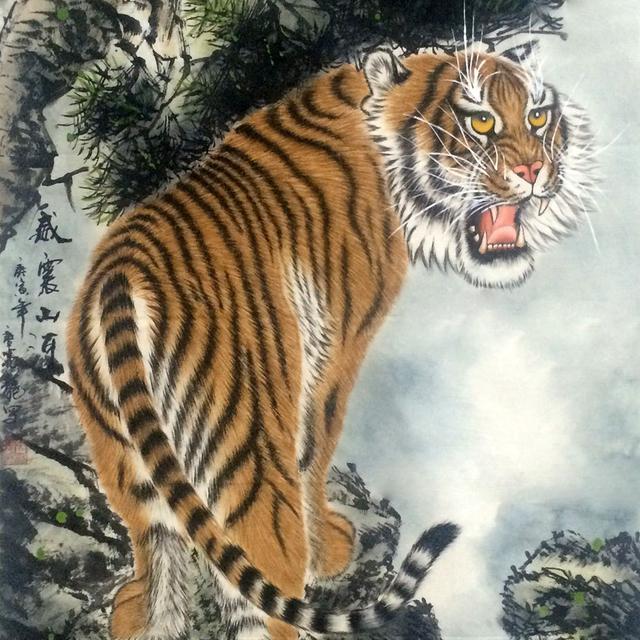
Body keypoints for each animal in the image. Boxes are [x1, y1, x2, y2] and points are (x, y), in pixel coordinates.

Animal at [66, 42, 594, 640]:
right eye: (480, 120)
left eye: (538, 116)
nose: (536, 171)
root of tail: (122, 275)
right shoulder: (338, 347)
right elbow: (314, 447)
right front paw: (330, 551)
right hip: (242, 461)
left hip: (125, 465)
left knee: (150, 580)